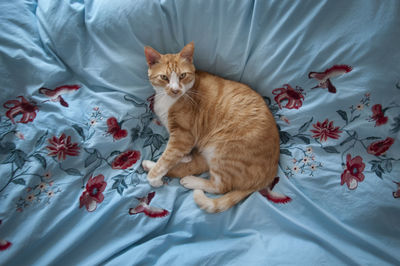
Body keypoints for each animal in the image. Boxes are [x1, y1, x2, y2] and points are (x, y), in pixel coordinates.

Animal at [142, 42, 280, 213]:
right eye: (164, 77)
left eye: (182, 75)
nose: (175, 90)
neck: (167, 100)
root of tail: (269, 175)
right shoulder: (181, 140)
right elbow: (173, 157)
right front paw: (184, 157)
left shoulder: (183, 137)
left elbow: (167, 158)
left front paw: (153, 178)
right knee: (194, 167)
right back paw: (152, 164)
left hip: (222, 151)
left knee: (220, 186)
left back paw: (188, 180)